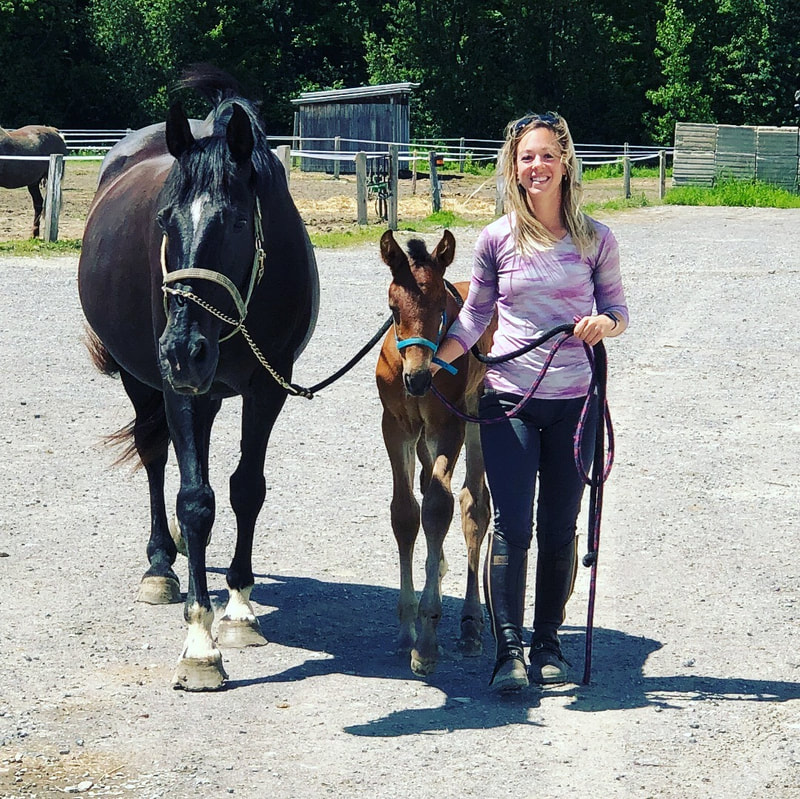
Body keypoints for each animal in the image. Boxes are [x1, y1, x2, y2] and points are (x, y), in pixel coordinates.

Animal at [78, 69, 320, 692]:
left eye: (236, 221)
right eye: (165, 221)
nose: (182, 350)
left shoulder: (269, 386)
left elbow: (245, 489)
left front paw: (238, 607)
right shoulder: (175, 389)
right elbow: (194, 498)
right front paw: (200, 643)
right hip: (145, 380)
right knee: (155, 456)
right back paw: (161, 565)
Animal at [376, 231, 494, 676]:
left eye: (440, 306)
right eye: (393, 308)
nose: (418, 378)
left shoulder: (449, 427)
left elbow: (440, 508)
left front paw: (426, 641)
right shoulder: (396, 426)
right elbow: (406, 513)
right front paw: (406, 627)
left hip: (479, 414)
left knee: (474, 505)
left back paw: (471, 624)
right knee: (429, 489)